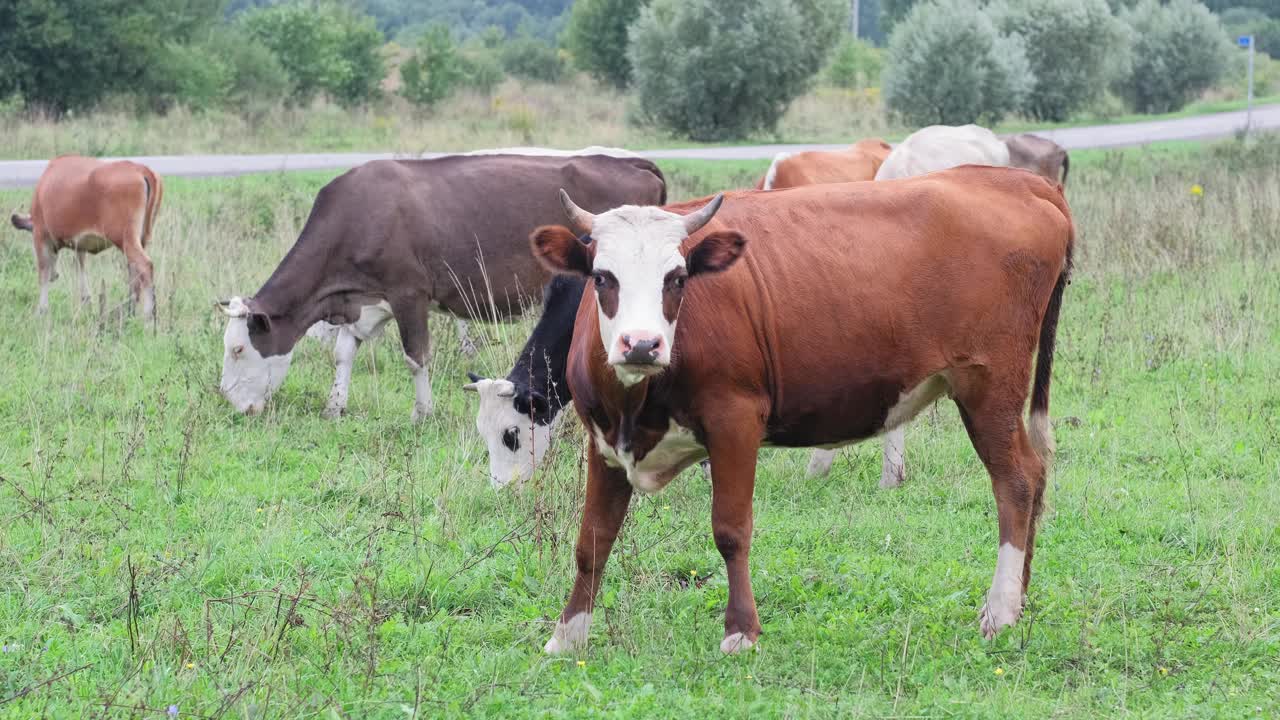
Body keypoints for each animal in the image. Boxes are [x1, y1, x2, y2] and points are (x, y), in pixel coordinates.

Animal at [9, 155, 162, 315]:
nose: (55, 275)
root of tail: (140, 168)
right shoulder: (79, 244)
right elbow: (80, 267)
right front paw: (86, 301)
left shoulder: (41, 235)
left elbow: (43, 273)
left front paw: (42, 310)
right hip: (141, 239)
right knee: (134, 273)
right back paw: (129, 311)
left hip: (126, 239)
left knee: (144, 266)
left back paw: (148, 315)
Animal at [217, 154, 670, 417]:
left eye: (238, 349)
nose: (230, 401)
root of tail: (631, 161)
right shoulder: (365, 300)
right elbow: (344, 353)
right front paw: (335, 405)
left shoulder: (409, 293)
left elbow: (416, 357)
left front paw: (423, 411)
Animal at [527, 165, 1070, 653]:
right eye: (602, 277)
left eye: (677, 279)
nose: (641, 344)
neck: (636, 403)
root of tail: (1016, 178)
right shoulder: (604, 439)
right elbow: (593, 538)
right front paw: (567, 636)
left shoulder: (735, 421)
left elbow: (731, 529)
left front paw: (741, 632)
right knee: (1036, 473)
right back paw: (1020, 598)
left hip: (989, 386)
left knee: (1017, 481)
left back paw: (1001, 610)